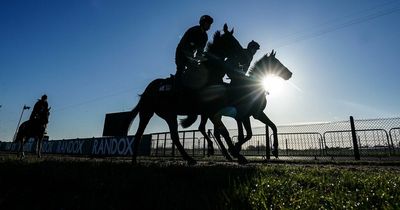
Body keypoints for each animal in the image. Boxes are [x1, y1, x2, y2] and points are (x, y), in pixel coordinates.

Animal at [122, 23, 247, 165]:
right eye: (232, 42)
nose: (244, 57)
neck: (210, 74)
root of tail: (147, 90)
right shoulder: (210, 111)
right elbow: (223, 131)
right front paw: (238, 155)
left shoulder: (212, 110)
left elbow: (221, 130)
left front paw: (233, 153)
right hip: (147, 112)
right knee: (140, 134)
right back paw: (134, 161)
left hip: (168, 114)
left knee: (174, 136)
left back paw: (189, 158)